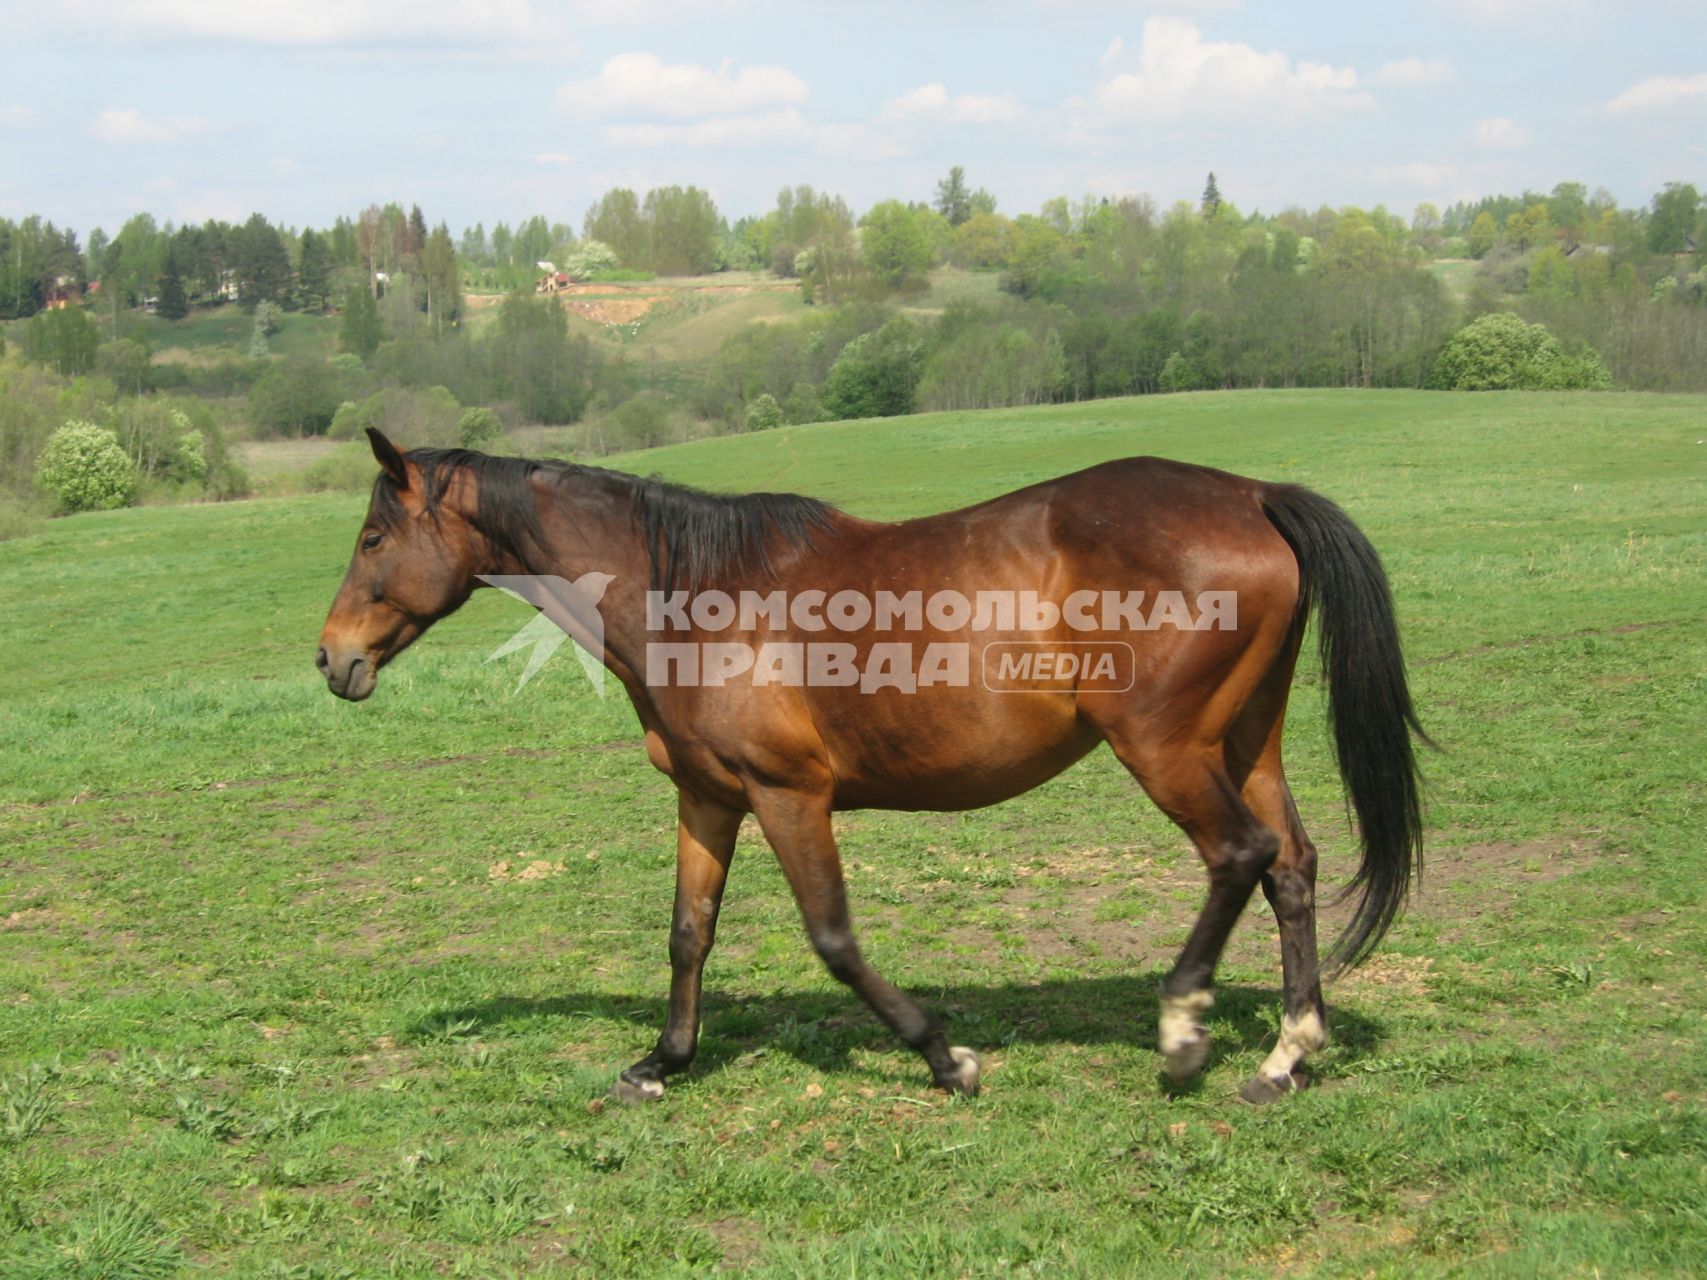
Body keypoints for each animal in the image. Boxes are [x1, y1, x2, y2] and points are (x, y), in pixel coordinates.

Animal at [314, 428, 1420, 1105]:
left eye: (371, 536)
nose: (331, 658)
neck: (690, 593)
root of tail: (1253, 496)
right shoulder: (708, 798)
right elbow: (687, 934)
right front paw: (661, 1061)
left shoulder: (788, 795)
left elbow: (834, 939)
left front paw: (944, 1054)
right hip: (1243, 741)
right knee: (1291, 865)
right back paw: (1285, 1055)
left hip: (1166, 749)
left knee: (1239, 853)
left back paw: (1185, 1027)